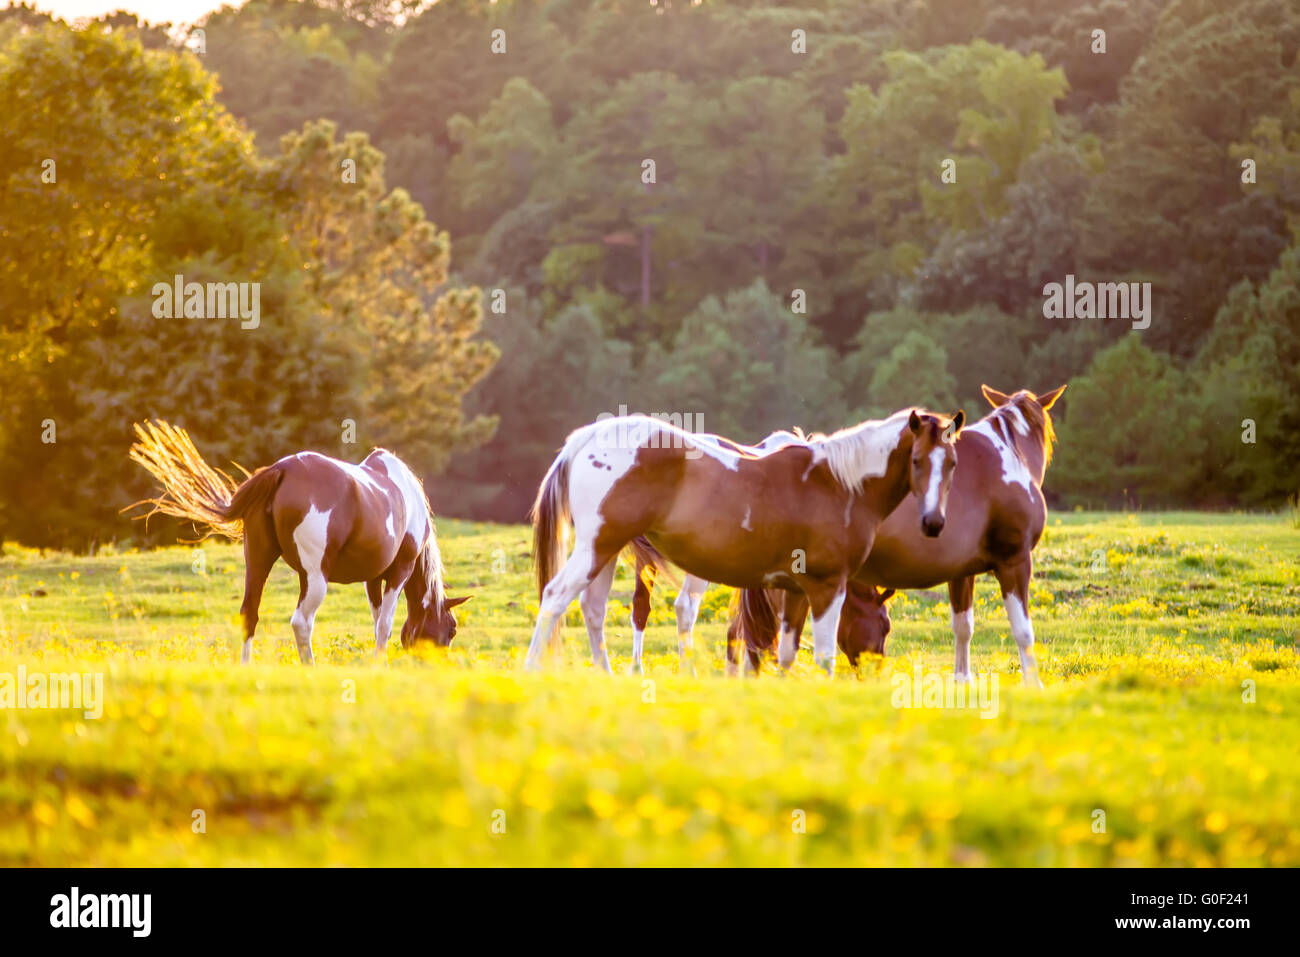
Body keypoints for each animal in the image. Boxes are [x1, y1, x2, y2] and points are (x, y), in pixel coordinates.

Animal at [126, 418, 470, 665]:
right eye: (451, 628)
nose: (434, 664)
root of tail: (282, 469)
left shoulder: (372, 579)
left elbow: (377, 622)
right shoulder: (399, 571)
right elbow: (384, 623)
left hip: (259, 561)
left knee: (249, 613)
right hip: (316, 578)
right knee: (301, 623)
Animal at [522, 408, 961, 676]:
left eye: (953, 463)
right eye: (917, 461)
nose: (934, 521)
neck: (838, 483)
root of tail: (590, 435)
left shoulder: (795, 590)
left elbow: (784, 653)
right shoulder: (826, 587)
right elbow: (822, 656)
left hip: (606, 549)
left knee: (593, 609)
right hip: (597, 547)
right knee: (556, 596)